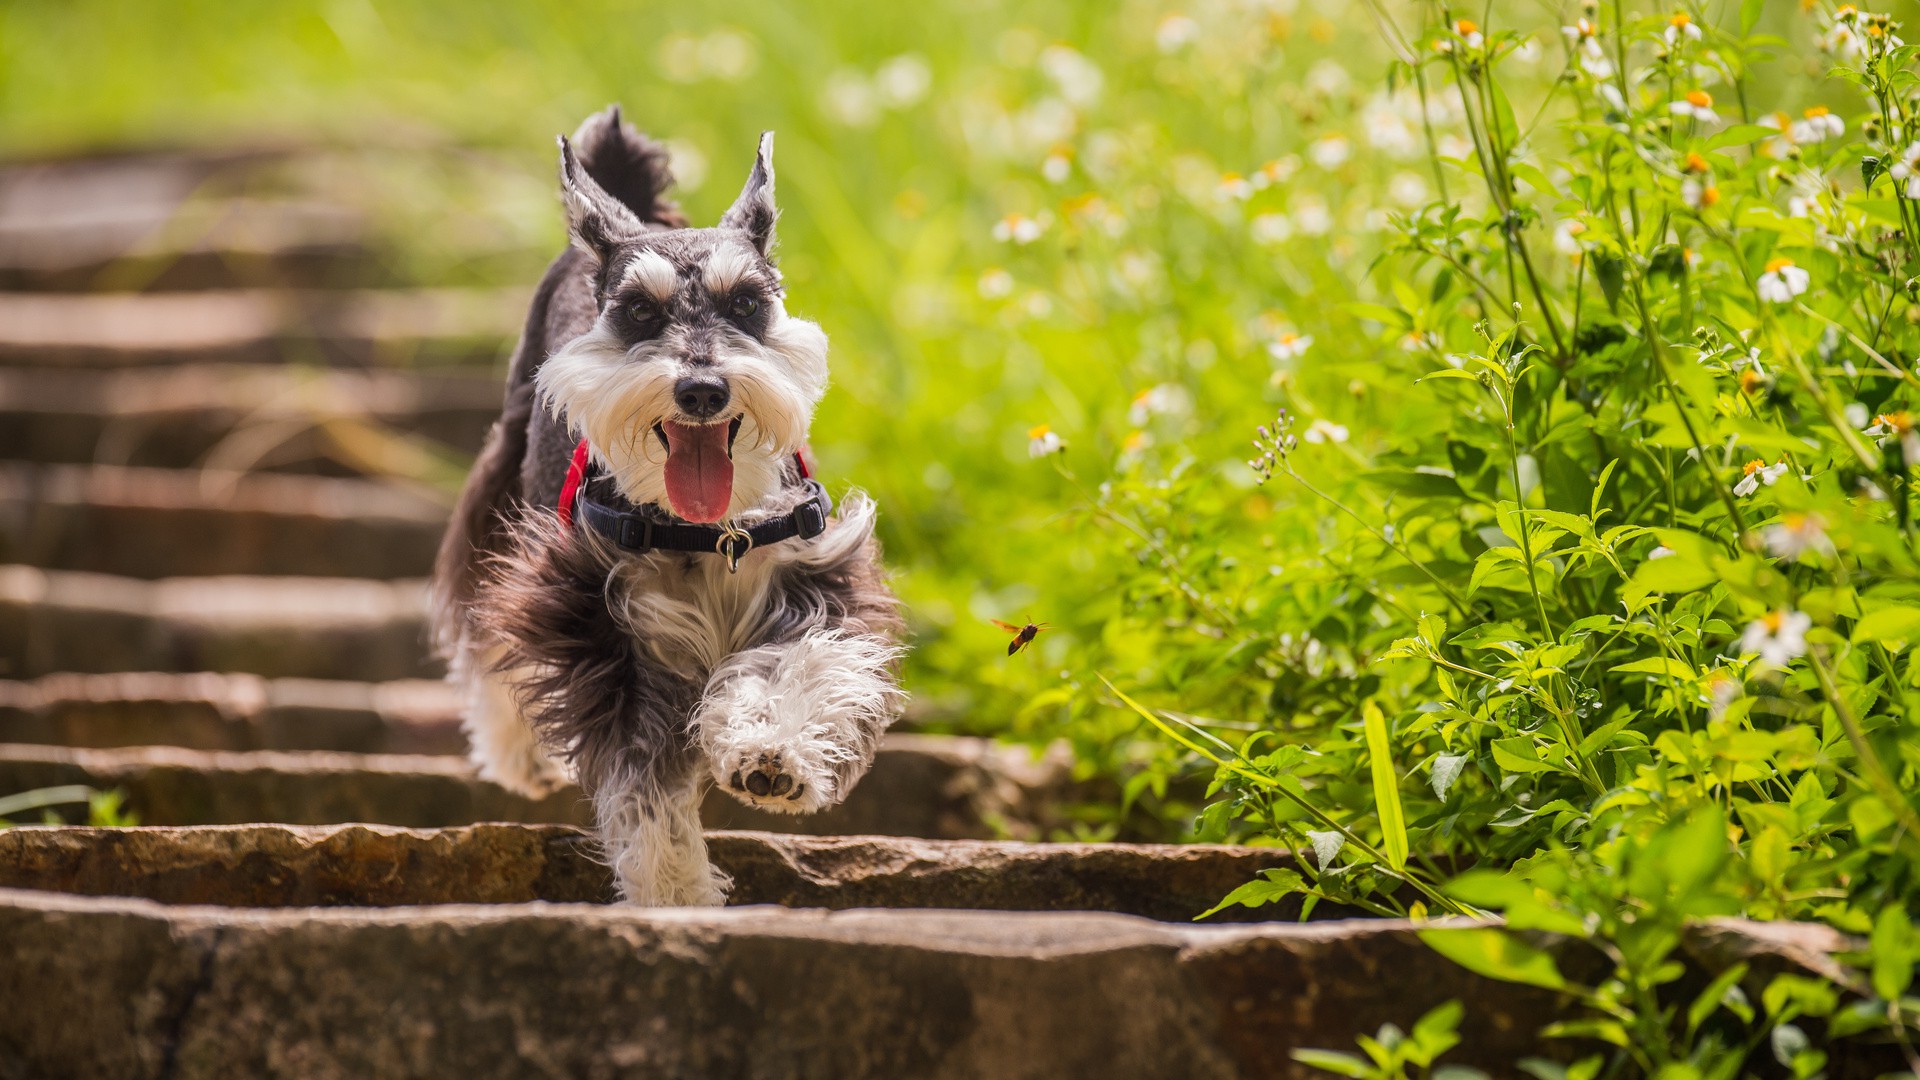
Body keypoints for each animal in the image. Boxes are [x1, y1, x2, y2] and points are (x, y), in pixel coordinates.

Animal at [433, 107, 906, 899]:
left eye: (747, 302)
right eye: (636, 311)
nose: (702, 390)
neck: (706, 531)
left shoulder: (817, 579)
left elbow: (796, 666)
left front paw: (772, 755)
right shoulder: (600, 628)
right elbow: (643, 783)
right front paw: (675, 891)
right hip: (502, 491)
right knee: (484, 629)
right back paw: (518, 754)